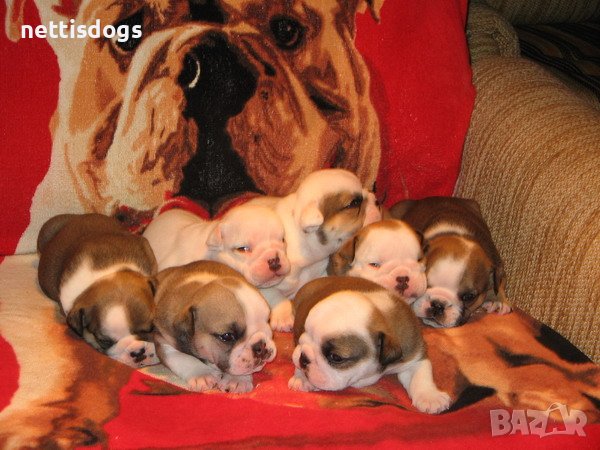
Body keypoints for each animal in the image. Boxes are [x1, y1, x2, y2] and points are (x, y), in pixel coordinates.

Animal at [153, 260, 276, 393]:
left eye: (268, 320)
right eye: (227, 336)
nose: (261, 346)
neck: (197, 291)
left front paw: (236, 380)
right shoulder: (163, 341)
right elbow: (181, 358)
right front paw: (202, 374)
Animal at [288, 276, 451, 414]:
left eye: (335, 357)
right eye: (303, 334)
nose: (303, 357)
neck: (381, 315)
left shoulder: (414, 354)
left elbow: (421, 374)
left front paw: (430, 396)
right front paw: (301, 377)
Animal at [390, 197, 512, 328]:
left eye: (469, 297)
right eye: (424, 282)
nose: (438, 305)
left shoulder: (498, 265)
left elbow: (499, 283)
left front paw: (498, 300)